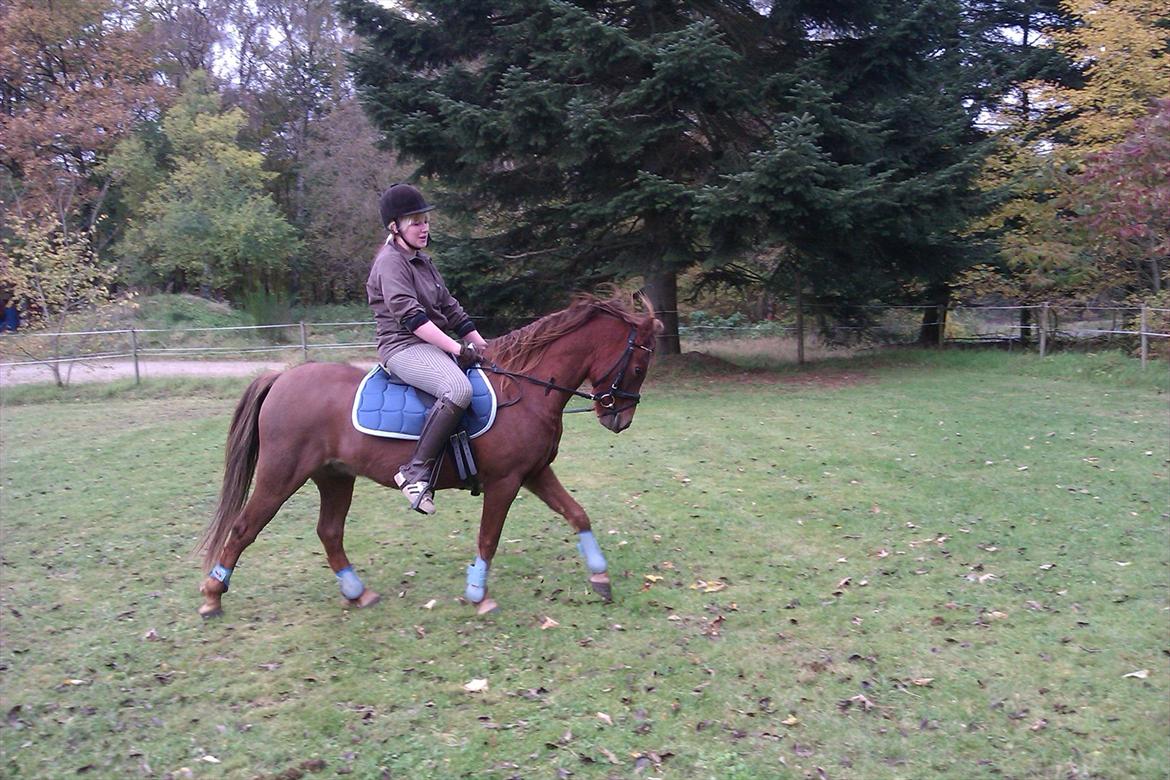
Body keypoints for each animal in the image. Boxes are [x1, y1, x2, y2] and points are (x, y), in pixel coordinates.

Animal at [196, 292, 662, 617]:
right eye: (639, 367)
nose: (620, 420)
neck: (523, 389)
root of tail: (280, 378)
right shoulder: (506, 481)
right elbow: (489, 537)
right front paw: (478, 595)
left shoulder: (534, 473)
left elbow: (577, 514)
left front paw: (600, 576)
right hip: (281, 475)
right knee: (244, 528)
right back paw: (213, 597)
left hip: (335, 476)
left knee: (329, 532)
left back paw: (357, 593)